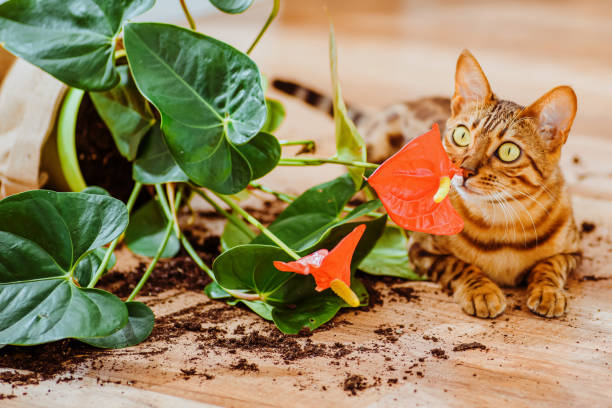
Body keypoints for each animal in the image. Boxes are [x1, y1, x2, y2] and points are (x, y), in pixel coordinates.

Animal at [274, 49, 584, 318]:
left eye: (509, 151)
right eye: (461, 135)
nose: (464, 170)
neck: (501, 222)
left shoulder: (574, 252)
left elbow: (550, 265)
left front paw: (547, 292)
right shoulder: (421, 250)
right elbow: (460, 266)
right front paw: (482, 291)